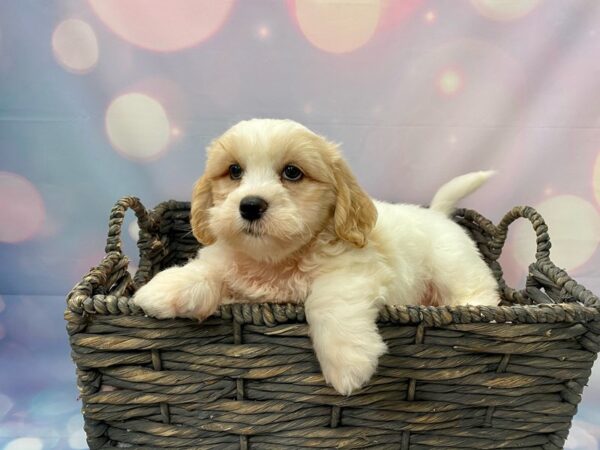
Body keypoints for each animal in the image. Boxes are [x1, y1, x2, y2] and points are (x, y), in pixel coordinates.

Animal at [134, 118, 500, 394]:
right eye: (234, 171)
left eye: (292, 173)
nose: (250, 205)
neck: (276, 260)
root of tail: (437, 213)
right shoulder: (229, 266)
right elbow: (207, 269)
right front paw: (163, 289)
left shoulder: (355, 270)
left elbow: (327, 299)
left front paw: (347, 361)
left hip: (453, 266)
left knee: (478, 290)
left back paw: (476, 310)